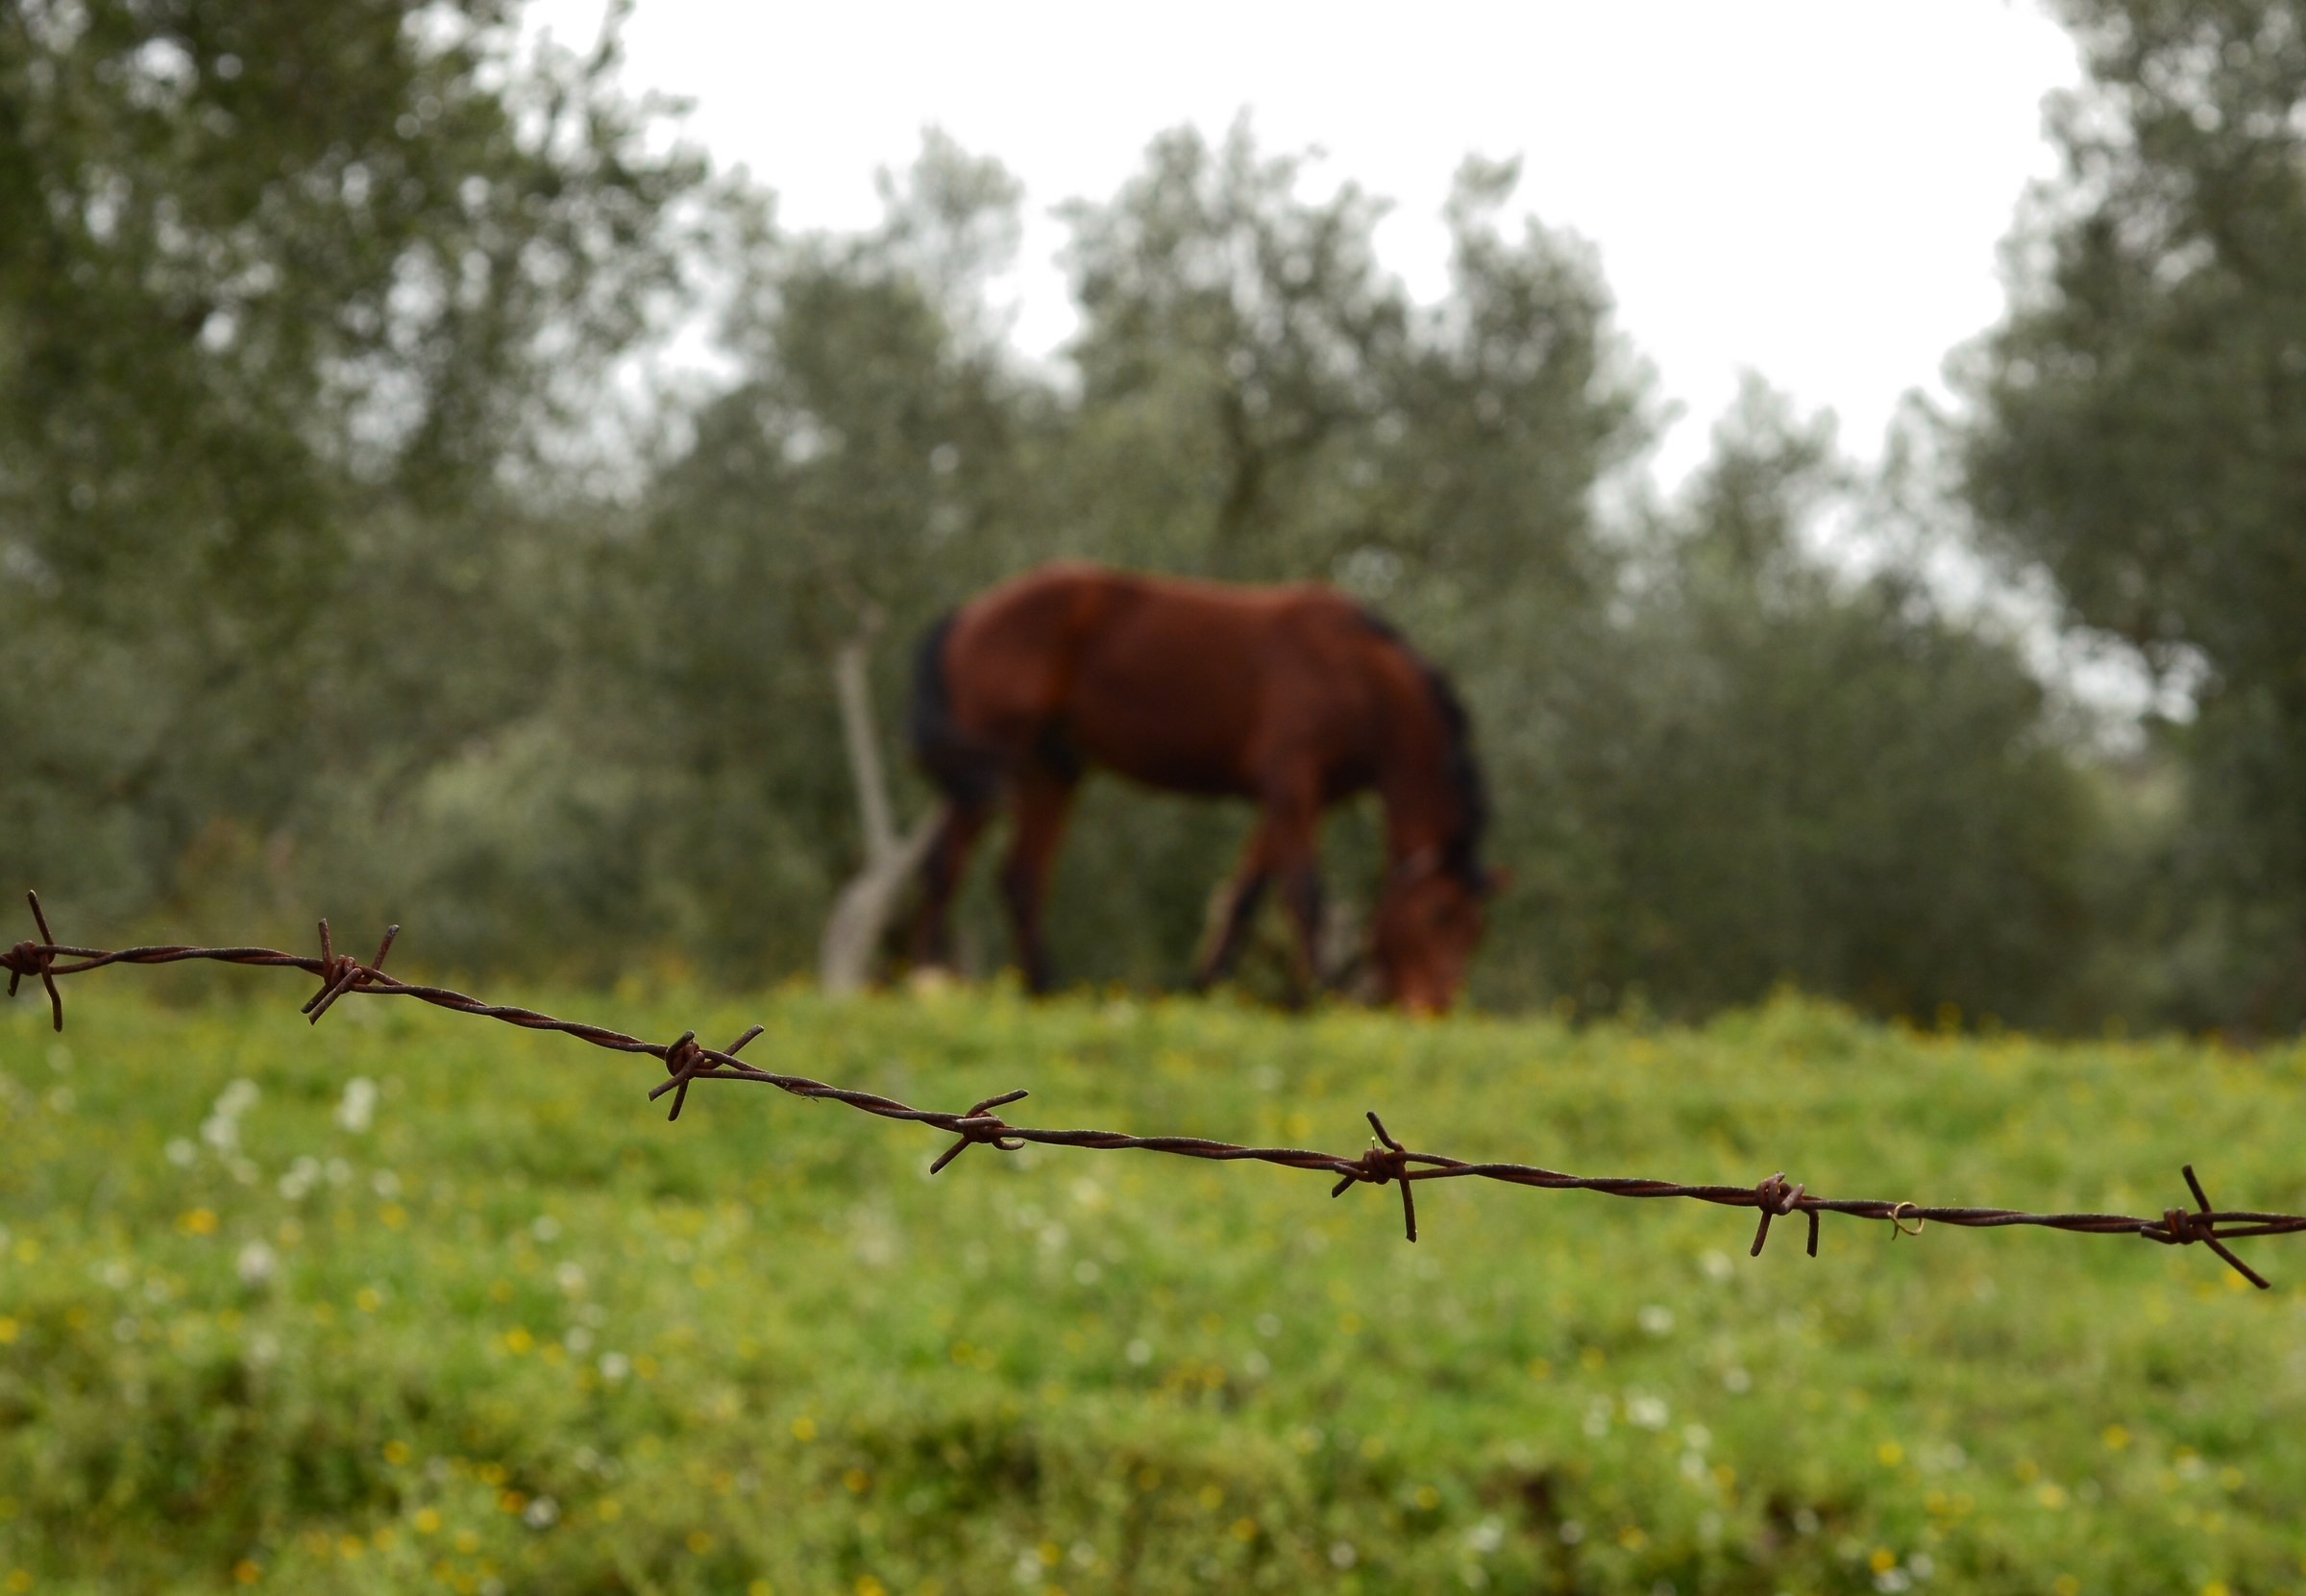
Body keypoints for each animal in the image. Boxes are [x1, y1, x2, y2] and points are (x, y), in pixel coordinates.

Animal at [906, 562, 1500, 1012]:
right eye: (1440, 915)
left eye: (1477, 931)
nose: (1437, 1008)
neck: (1360, 677)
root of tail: (967, 614)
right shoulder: (1291, 781)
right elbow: (1304, 892)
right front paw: (1310, 999)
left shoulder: (1292, 798)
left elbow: (1244, 897)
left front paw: (1205, 990)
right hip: (994, 762)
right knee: (945, 865)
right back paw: (927, 981)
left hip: (1050, 770)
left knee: (1021, 878)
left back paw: (1042, 991)